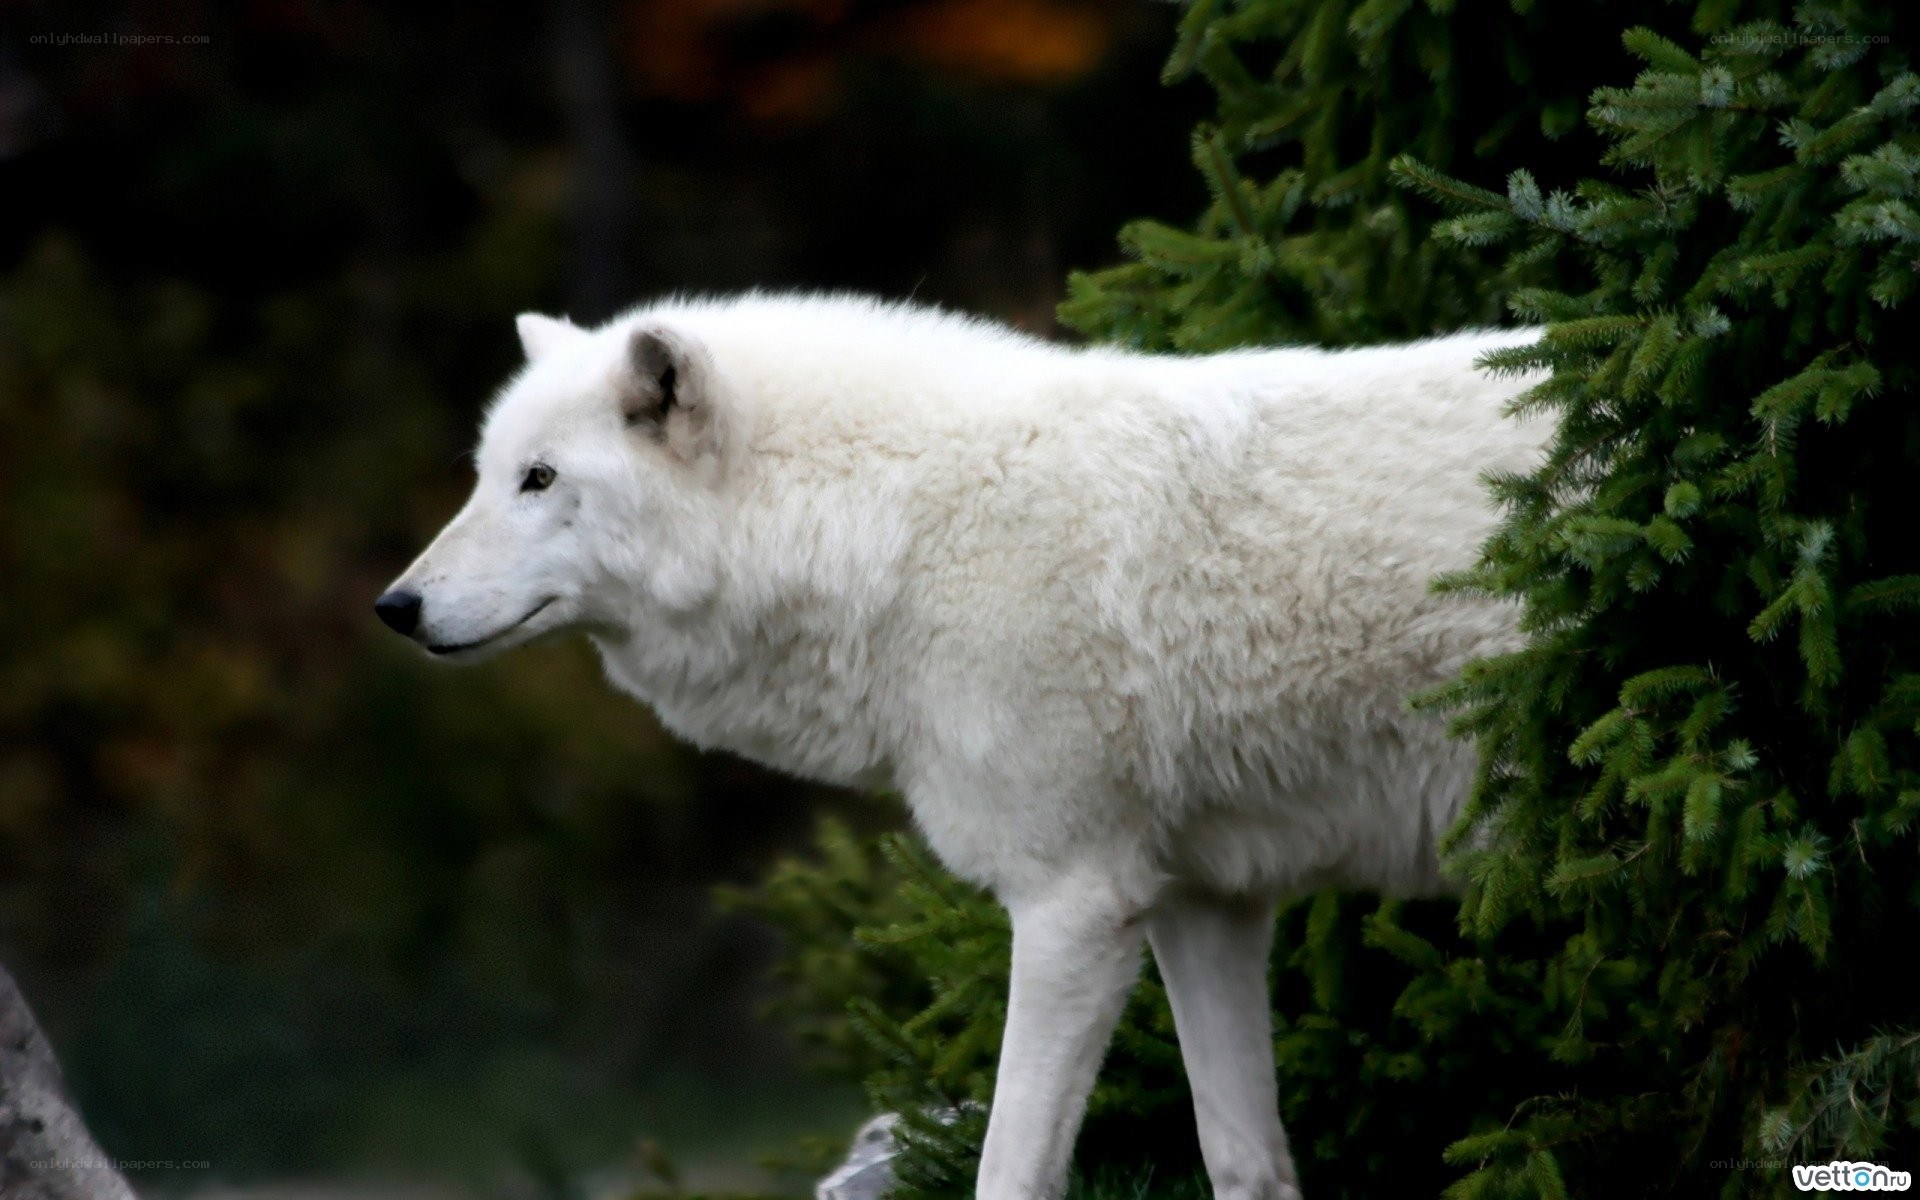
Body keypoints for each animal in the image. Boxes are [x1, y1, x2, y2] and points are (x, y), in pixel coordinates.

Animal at [375, 294, 1549, 1200]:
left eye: (538, 479)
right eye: (485, 475)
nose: (395, 606)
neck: (899, 530)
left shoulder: (1073, 905)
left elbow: (1010, 1170)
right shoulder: (1201, 903)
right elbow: (1241, 1159)